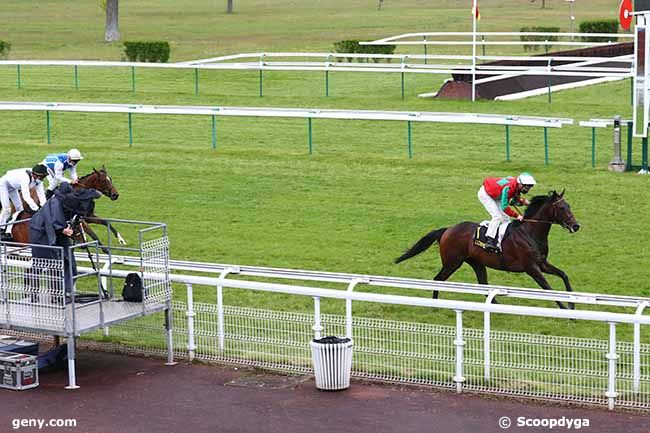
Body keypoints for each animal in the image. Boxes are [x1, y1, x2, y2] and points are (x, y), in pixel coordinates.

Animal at [392, 191, 580, 308]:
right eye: (561, 208)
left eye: (569, 205)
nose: (576, 226)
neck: (530, 232)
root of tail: (447, 229)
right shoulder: (531, 268)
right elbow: (548, 288)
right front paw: (567, 312)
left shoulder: (542, 263)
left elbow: (564, 275)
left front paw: (572, 304)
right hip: (452, 262)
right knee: (438, 279)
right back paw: (435, 306)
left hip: (476, 262)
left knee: (482, 284)